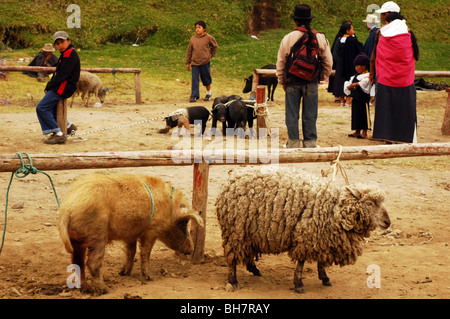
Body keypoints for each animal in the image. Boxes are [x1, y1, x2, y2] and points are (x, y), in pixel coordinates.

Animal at [59, 174, 203, 296]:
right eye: (185, 222)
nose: (190, 249)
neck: (169, 209)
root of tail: (67, 208)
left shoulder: (130, 234)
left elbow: (131, 252)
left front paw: (123, 273)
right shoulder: (151, 231)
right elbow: (145, 252)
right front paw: (151, 278)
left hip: (77, 240)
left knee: (77, 263)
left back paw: (87, 289)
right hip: (97, 234)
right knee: (92, 263)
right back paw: (105, 290)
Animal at [215, 168, 390, 296]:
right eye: (369, 203)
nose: (387, 222)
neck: (335, 209)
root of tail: (231, 179)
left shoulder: (322, 239)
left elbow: (321, 261)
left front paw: (324, 278)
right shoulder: (306, 237)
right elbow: (301, 262)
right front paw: (299, 284)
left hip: (247, 232)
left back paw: (254, 269)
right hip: (235, 231)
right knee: (232, 257)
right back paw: (233, 281)